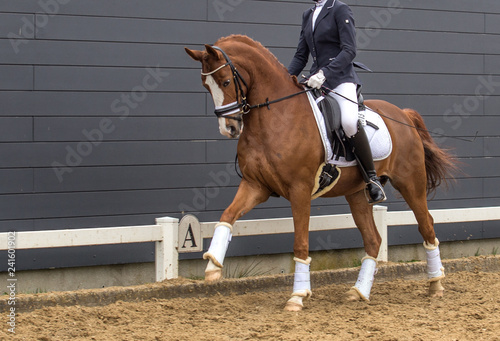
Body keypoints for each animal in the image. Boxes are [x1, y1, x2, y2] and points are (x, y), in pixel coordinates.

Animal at [185, 35, 458, 310]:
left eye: (226, 81)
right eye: (206, 85)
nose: (229, 128)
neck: (276, 117)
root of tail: (403, 115)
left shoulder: (300, 190)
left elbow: (300, 243)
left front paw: (297, 296)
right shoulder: (256, 185)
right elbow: (227, 216)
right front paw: (213, 267)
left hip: (410, 183)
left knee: (427, 225)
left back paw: (436, 284)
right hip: (357, 194)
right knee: (374, 240)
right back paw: (359, 292)